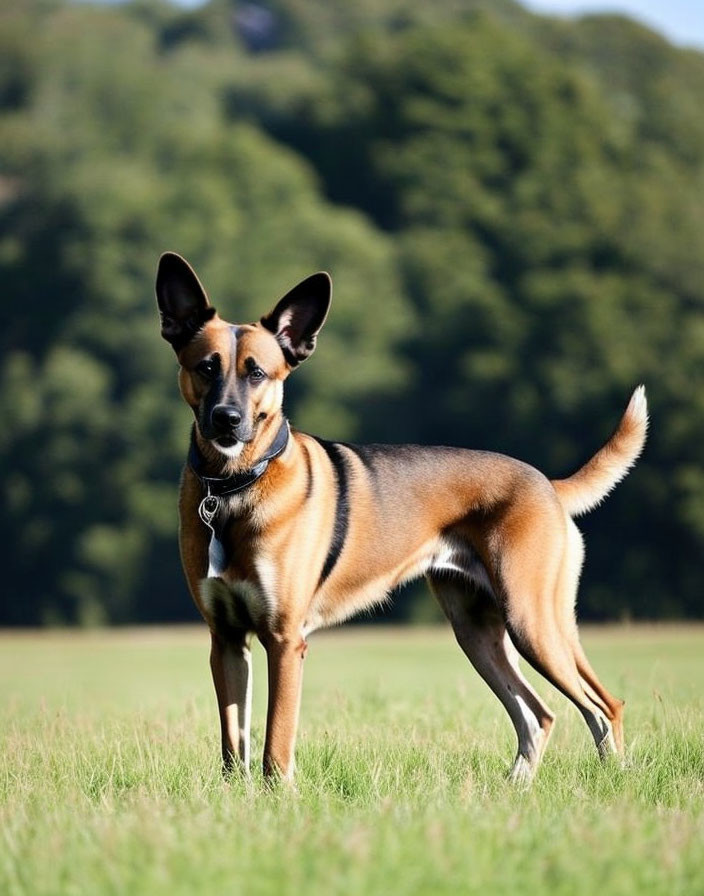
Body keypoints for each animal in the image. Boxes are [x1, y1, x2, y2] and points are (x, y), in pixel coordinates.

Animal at [155, 254, 648, 784]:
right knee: (539, 713)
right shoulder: (226, 639)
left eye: (257, 373)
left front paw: (278, 795)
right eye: (206, 367)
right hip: (478, 630)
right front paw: (237, 797)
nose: (226, 419)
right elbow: (234, 746)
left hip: (531, 619)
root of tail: (546, 483)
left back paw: (615, 778)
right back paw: (518, 786)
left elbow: (275, 745)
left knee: (604, 706)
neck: (232, 489)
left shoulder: (285, 641)